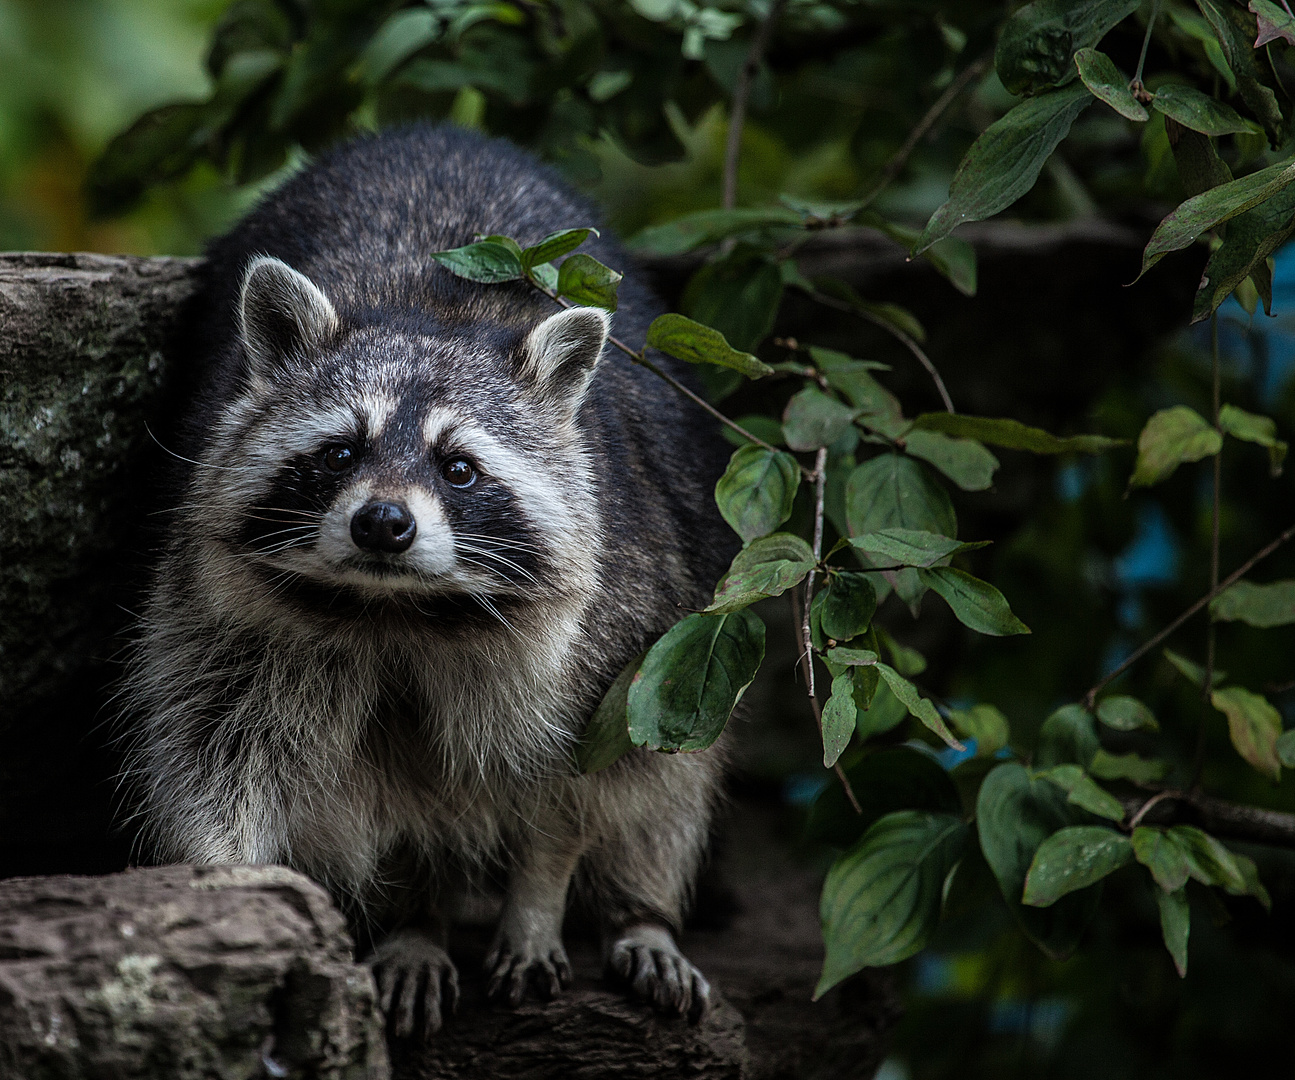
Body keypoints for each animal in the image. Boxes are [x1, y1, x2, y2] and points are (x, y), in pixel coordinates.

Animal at [127, 121, 745, 1030]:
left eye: (458, 469)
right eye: (339, 452)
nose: (383, 523)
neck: (400, 608)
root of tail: (434, 130)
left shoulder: (618, 615)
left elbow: (587, 778)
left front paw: (539, 899)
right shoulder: (225, 612)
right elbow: (218, 751)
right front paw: (233, 881)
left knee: (668, 786)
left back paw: (642, 915)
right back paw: (417, 918)